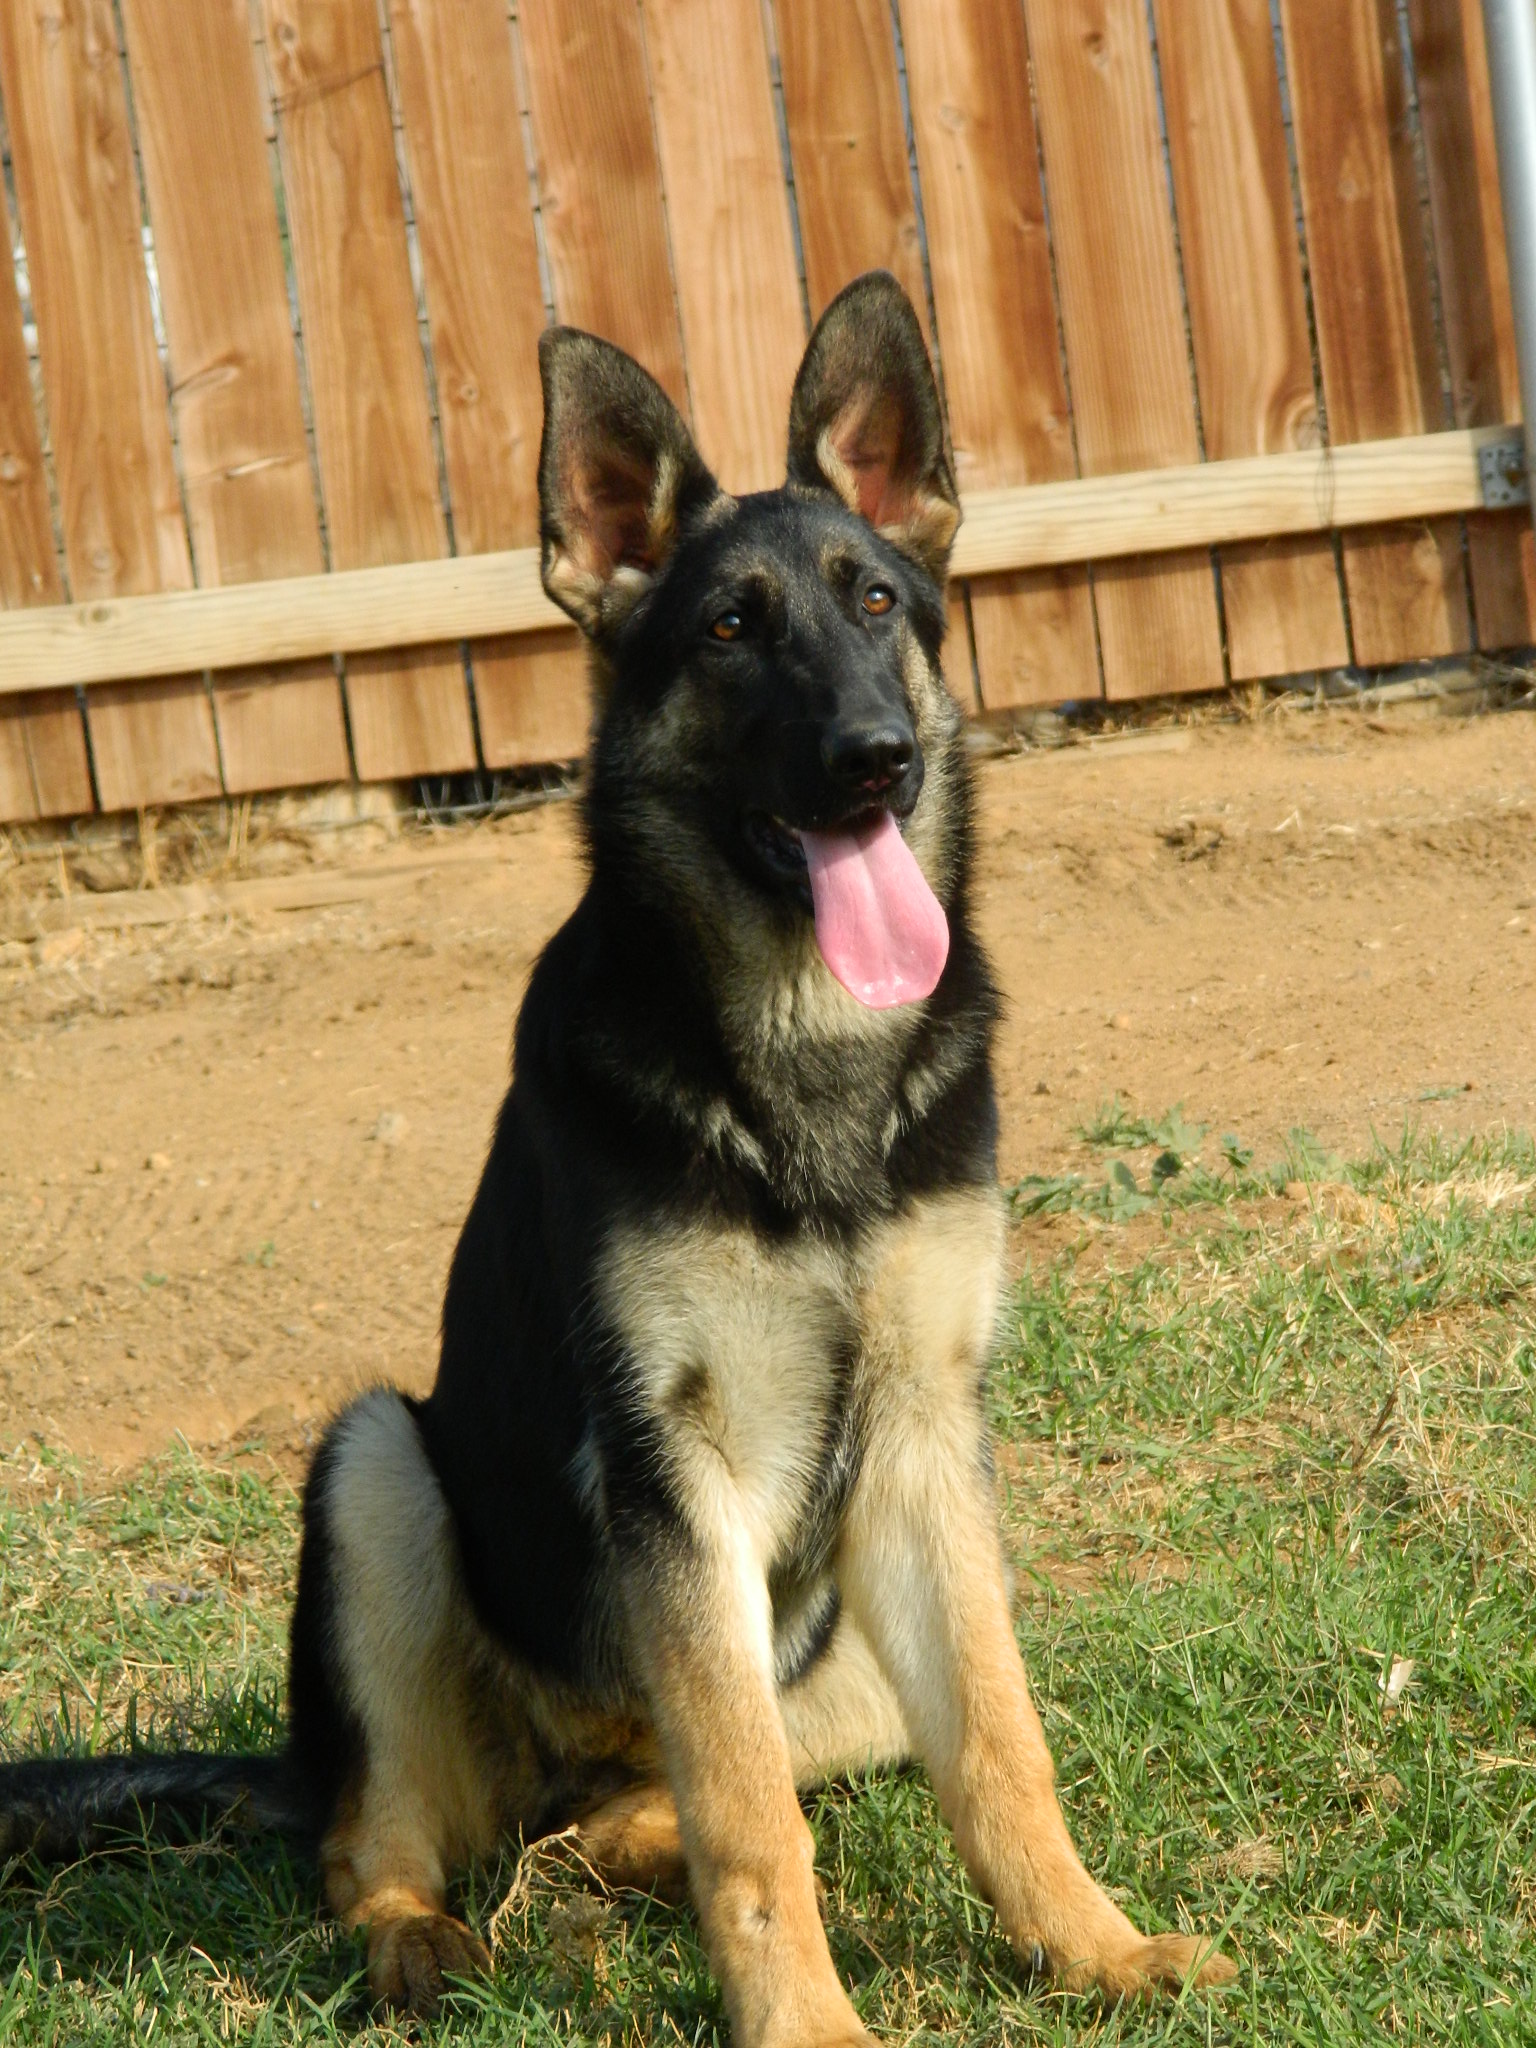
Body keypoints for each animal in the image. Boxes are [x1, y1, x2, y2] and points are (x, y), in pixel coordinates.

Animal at [0, 268, 1236, 2031]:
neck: (802, 1060)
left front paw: (1095, 1947)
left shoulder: (928, 1449)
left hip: (845, 1663)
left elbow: (1000, 1750)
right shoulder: (673, 1471)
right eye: (729, 629)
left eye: (877, 604)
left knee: (647, 1806)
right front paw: (809, 2026)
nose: (878, 757)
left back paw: (608, 1858)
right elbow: (752, 1818)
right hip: (376, 1469)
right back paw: (422, 1937)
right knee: (391, 1837)